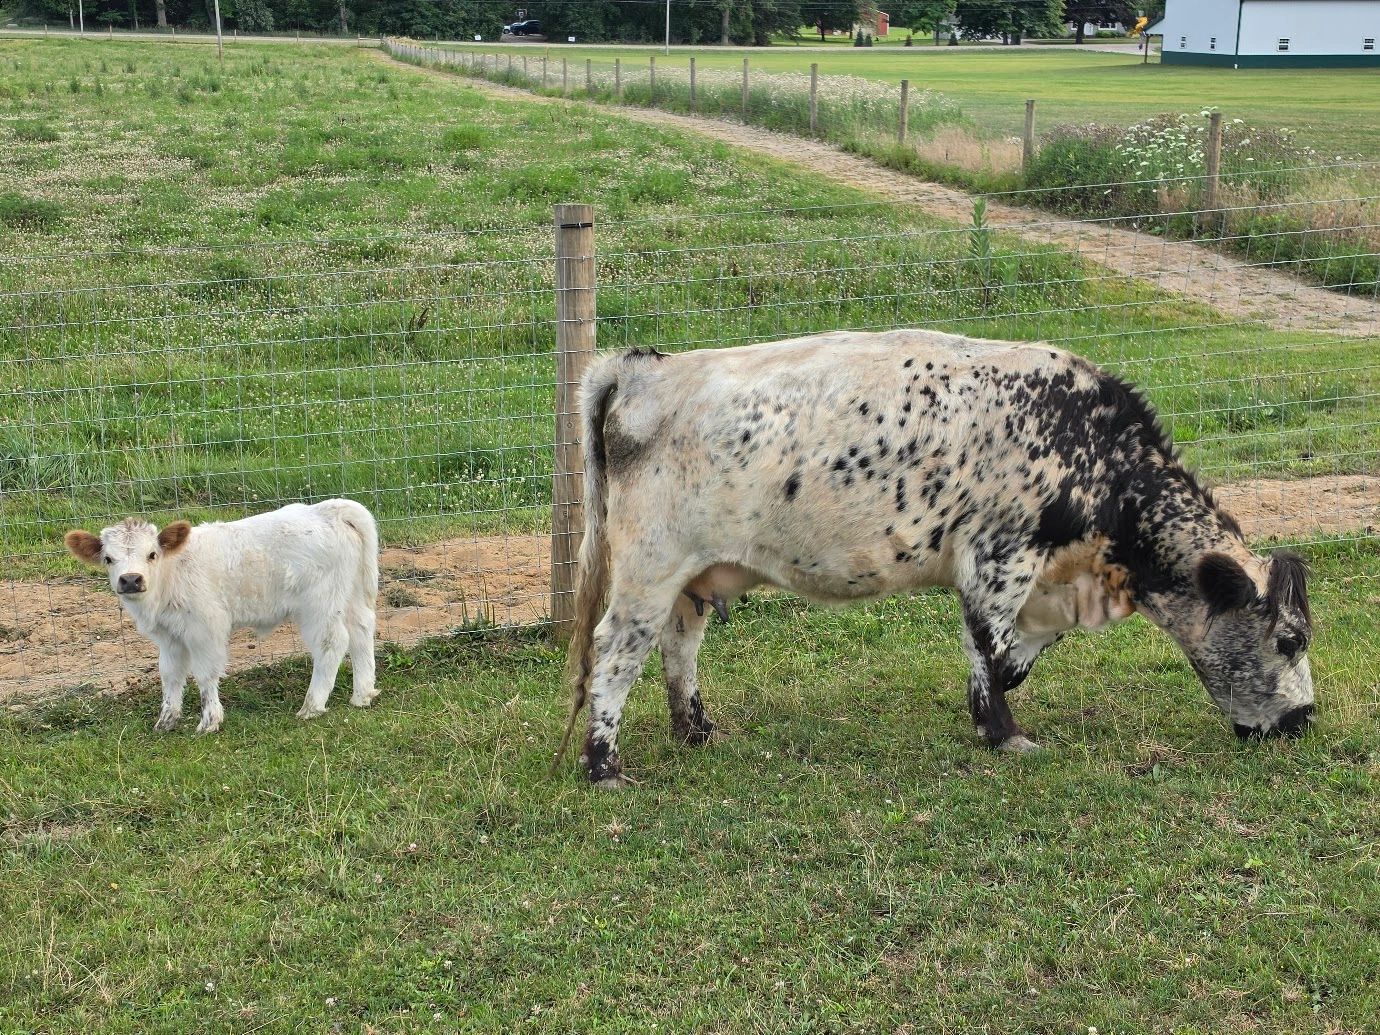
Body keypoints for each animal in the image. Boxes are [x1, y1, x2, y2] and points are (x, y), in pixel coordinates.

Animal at [65, 499, 380, 734]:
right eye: (108, 559)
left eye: (152, 554)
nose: (131, 580)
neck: (170, 575)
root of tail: (329, 509)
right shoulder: (169, 636)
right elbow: (170, 674)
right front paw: (166, 720)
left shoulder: (205, 628)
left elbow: (205, 673)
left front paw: (209, 721)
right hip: (349, 595)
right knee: (361, 630)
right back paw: (362, 694)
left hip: (319, 603)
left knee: (332, 643)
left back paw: (312, 706)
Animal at [552, 329, 1314, 788]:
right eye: (1288, 638)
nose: (1303, 719)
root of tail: (647, 365)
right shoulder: (1000, 558)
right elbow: (989, 645)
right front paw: (1003, 732)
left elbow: (1012, 656)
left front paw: (993, 711)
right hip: (648, 568)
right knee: (615, 653)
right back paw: (604, 765)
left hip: (691, 577)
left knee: (679, 647)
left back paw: (697, 730)